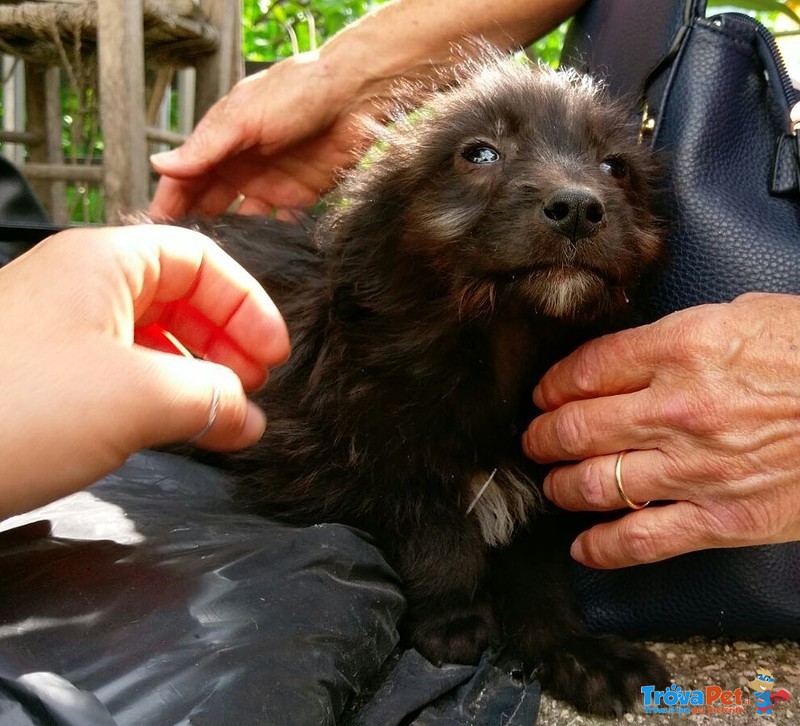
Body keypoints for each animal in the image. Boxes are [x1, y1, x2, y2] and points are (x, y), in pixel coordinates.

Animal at [192, 55, 668, 716]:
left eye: (615, 166)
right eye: (479, 153)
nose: (578, 207)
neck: (499, 348)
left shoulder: (542, 474)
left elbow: (541, 572)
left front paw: (576, 651)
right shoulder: (327, 462)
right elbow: (434, 525)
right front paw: (454, 622)